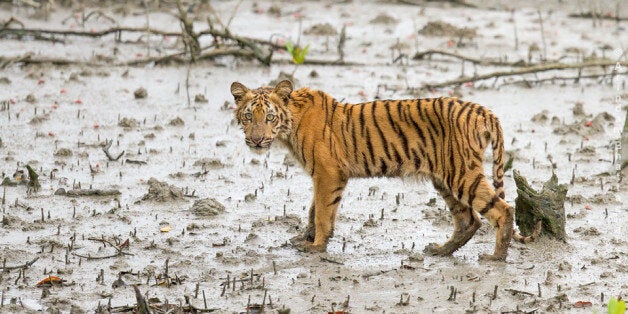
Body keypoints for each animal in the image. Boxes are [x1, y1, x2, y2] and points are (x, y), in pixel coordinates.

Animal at [228, 80, 536, 260]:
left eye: (269, 117)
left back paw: (496, 257)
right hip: (444, 178)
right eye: (248, 116)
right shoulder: (321, 175)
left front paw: (316, 246)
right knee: (469, 220)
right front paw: (303, 238)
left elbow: (324, 212)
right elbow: (314, 209)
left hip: (461, 174)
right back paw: (439, 251)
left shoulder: (328, 173)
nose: (256, 140)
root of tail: (483, 110)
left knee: (502, 210)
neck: (289, 125)